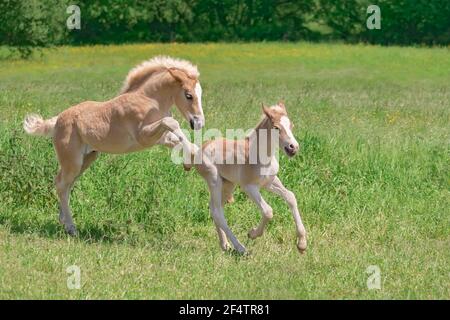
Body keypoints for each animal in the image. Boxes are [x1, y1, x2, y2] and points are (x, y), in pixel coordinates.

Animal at [22, 56, 202, 235]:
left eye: (200, 94)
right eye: (188, 95)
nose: (199, 123)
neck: (149, 100)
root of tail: (57, 120)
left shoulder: (161, 138)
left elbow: (177, 137)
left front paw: (191, 158)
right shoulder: (143, 136)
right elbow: (172, 122)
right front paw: (193, 154)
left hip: (87, 158)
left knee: (66, 184)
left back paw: (63, 220)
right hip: (72, 161)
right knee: (61, 184)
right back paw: (71, 228)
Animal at [185, 101, 308, 254]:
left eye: (291, 125)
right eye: (276, 127)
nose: (293, 148)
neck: (260, 155)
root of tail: (200, 149)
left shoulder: (269, 182)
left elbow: (291, 197)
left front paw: (302, 244)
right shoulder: (249, 187)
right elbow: (268, 211)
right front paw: (252, 233)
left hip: (228, 184)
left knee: (215, 209)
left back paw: (225, 245)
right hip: (214, 180)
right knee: (218, 212)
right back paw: (241, 248)